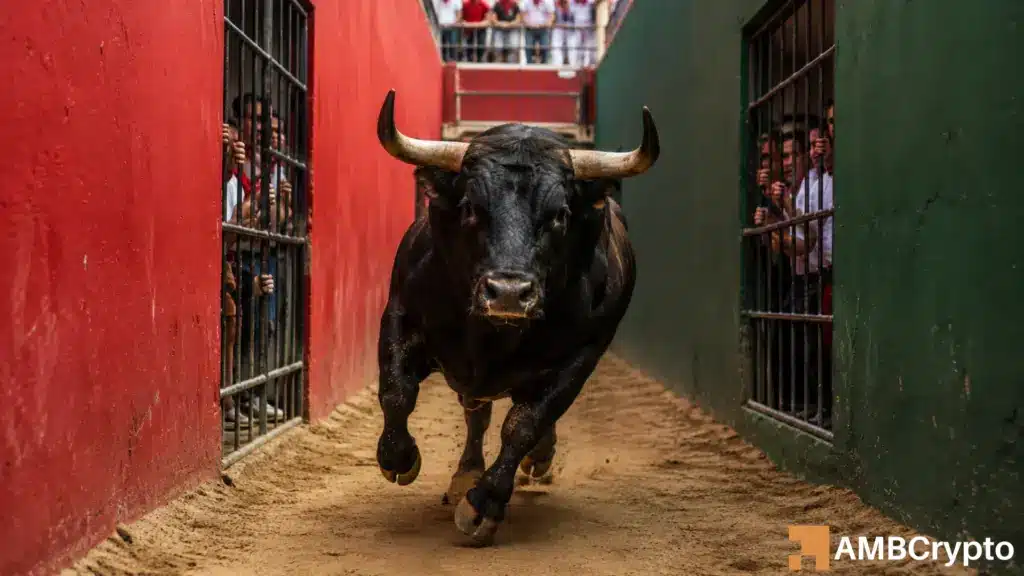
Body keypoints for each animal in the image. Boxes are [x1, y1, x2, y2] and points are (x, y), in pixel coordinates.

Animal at [373, 89, 659, 546]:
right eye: (471, 206)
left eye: (560, 214)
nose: (508, 292)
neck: (491, 336)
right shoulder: (401, 316)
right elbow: (397, 391)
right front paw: (399, 458)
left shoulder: (581, 356)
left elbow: (525, 424)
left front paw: (483, 504)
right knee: (475, 414)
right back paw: (464, 474)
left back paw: (532, 460)